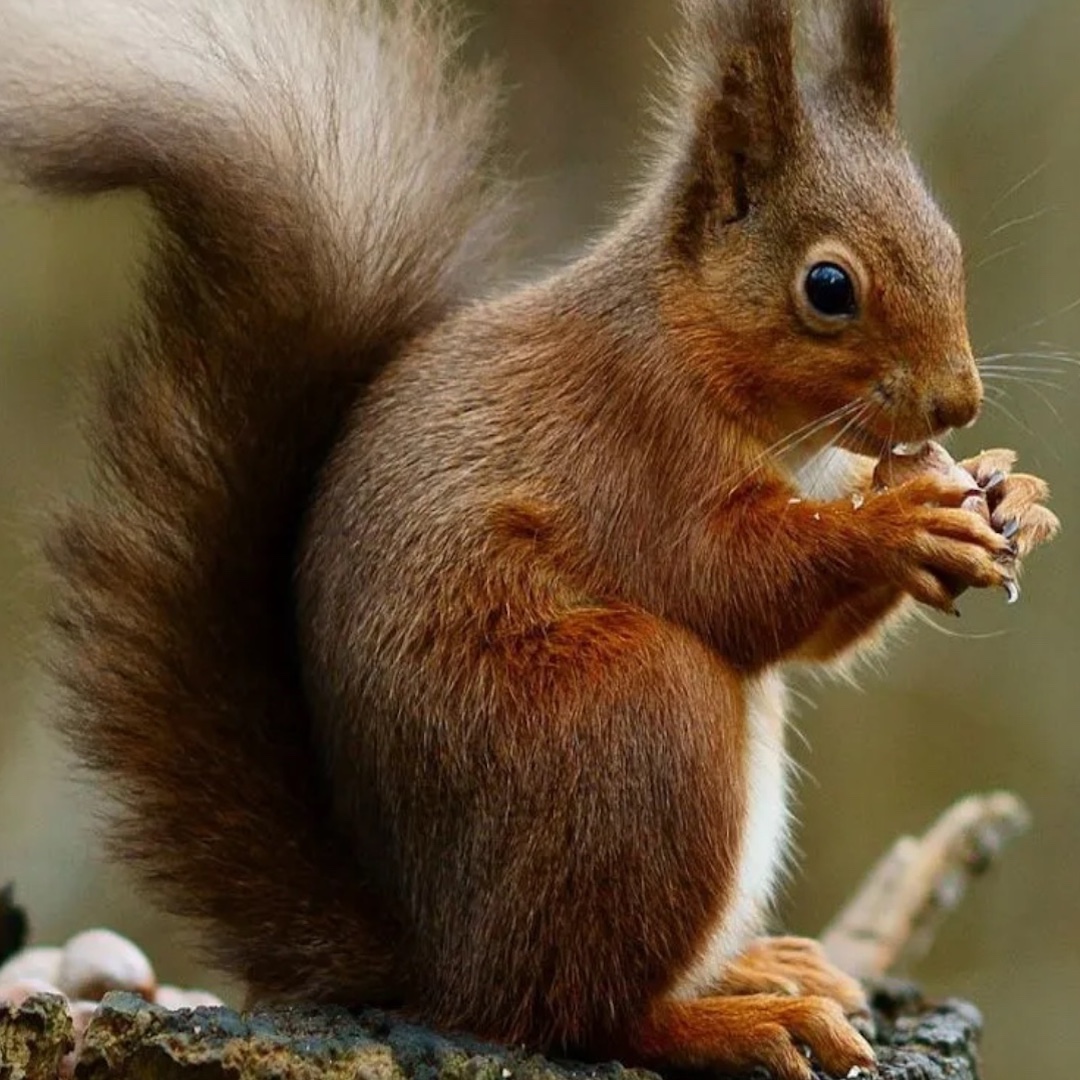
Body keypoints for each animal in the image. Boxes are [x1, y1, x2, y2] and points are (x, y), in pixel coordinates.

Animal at [0, 0, 1061, 1078]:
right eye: (830, 286)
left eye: (948, 243)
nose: (959, 402)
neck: (695, 350)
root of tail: (442, 960)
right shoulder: (633, 450)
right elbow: (730, 580)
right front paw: (902, 522)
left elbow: (810, 634)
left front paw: (1015, 492)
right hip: (631, 719)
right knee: (578, 1014)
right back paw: (736, 1019)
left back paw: (763, 967)